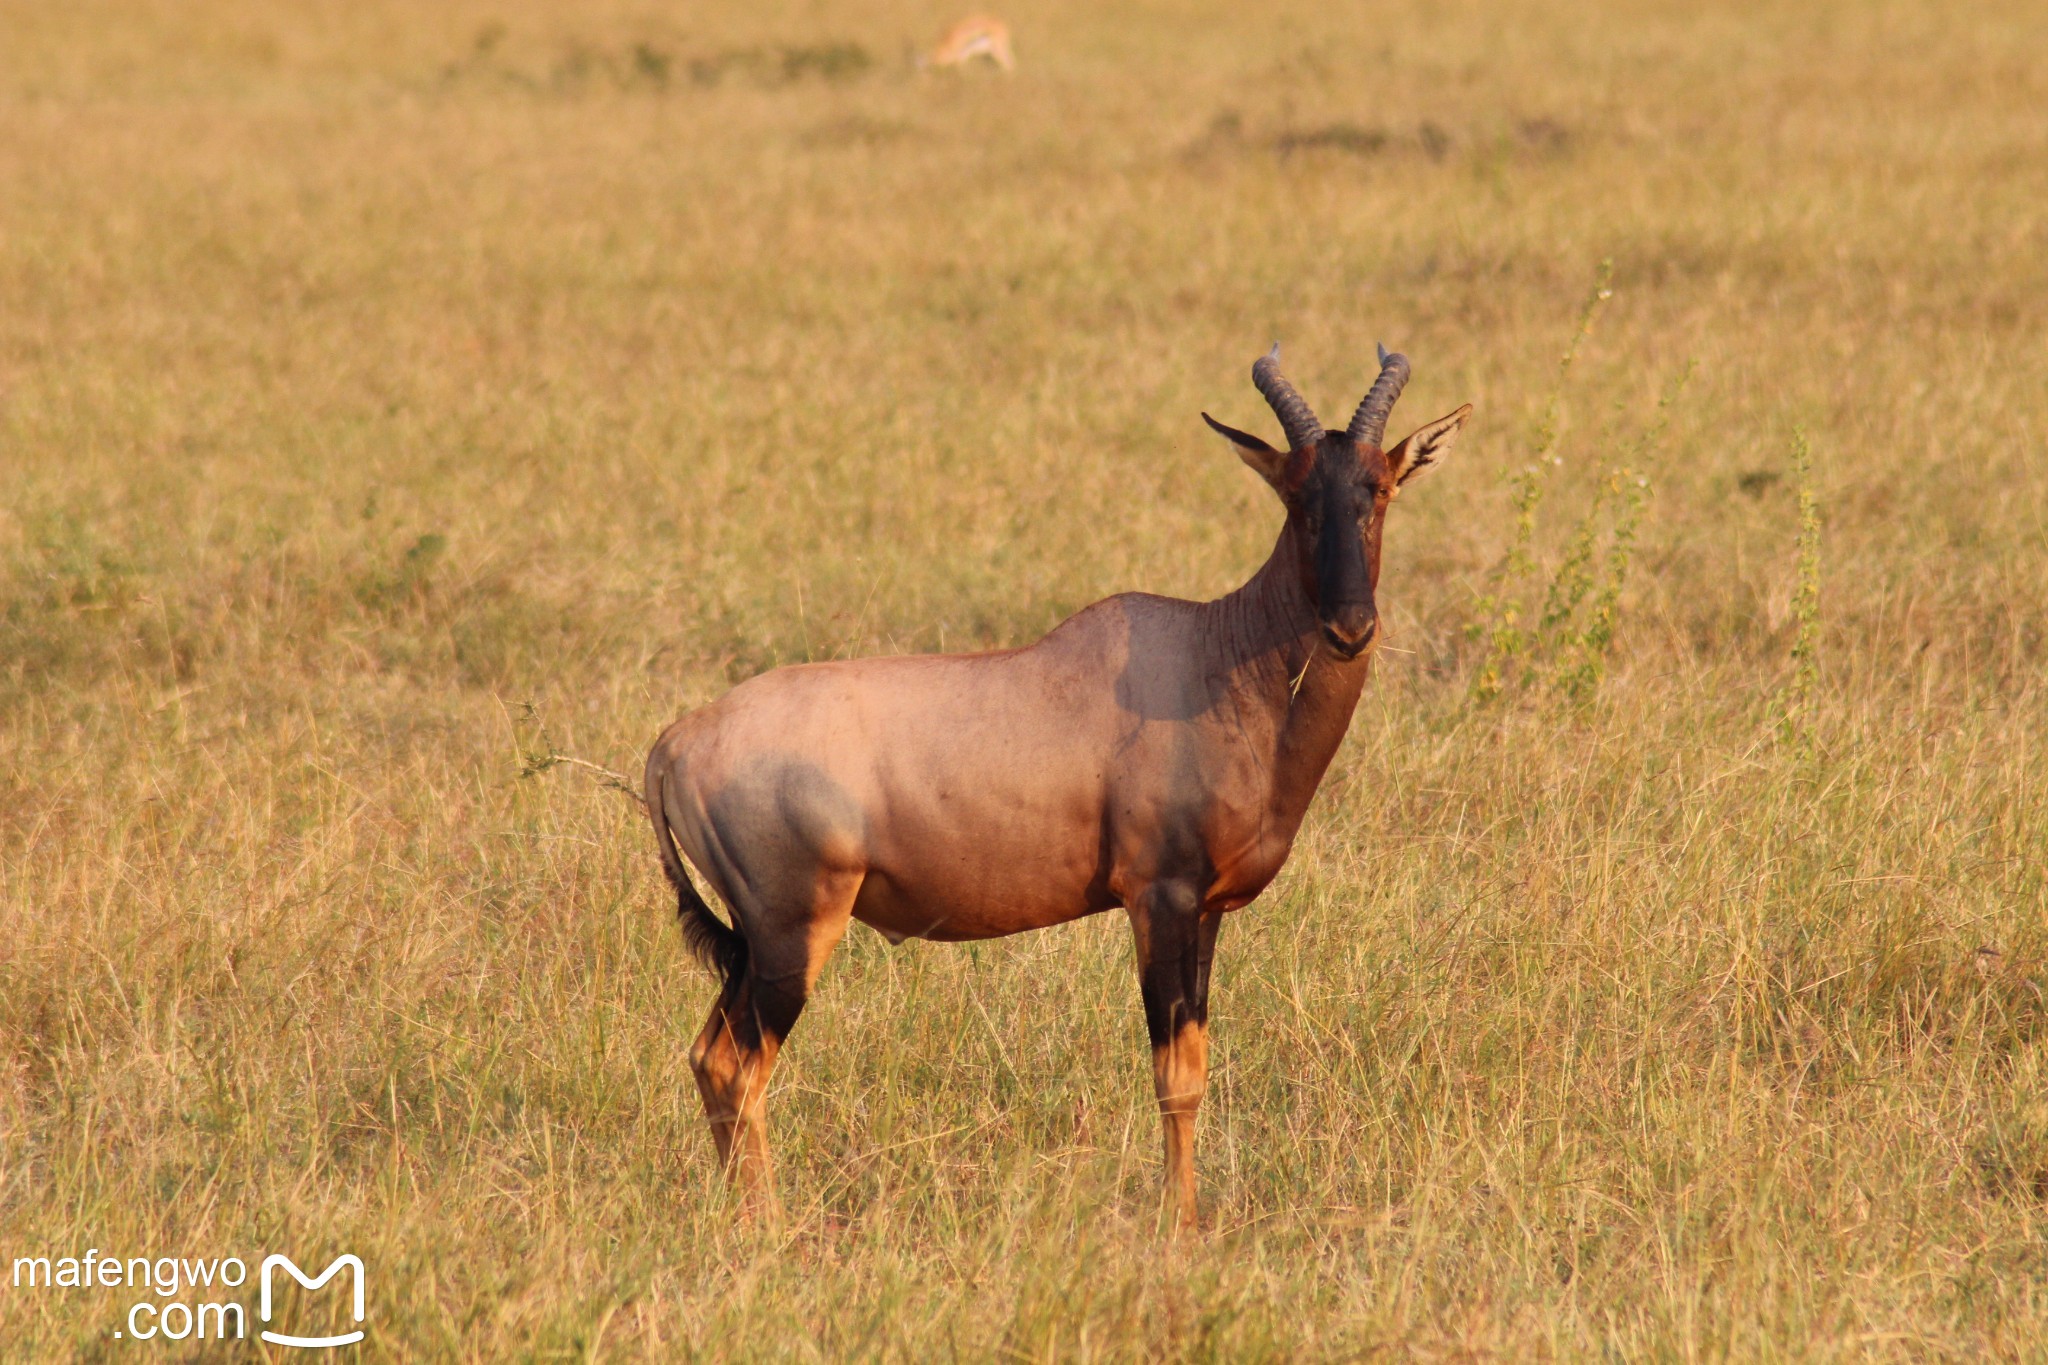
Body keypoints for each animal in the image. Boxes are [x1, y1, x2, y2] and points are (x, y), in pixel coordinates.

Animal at [647, 341, 1466, 1227]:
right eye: (1295, 493)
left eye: (1378, 488)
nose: (1351, 628)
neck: (1211, 654)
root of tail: (679, 739)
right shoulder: (1160, 897)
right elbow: (1174, 1076)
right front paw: (1178, 1226)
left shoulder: (1207, 911)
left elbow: (1198, 1062)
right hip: (792, 933)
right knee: (739, 1066)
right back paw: (767, 1228)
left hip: (751, 944)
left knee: (708, 1059)